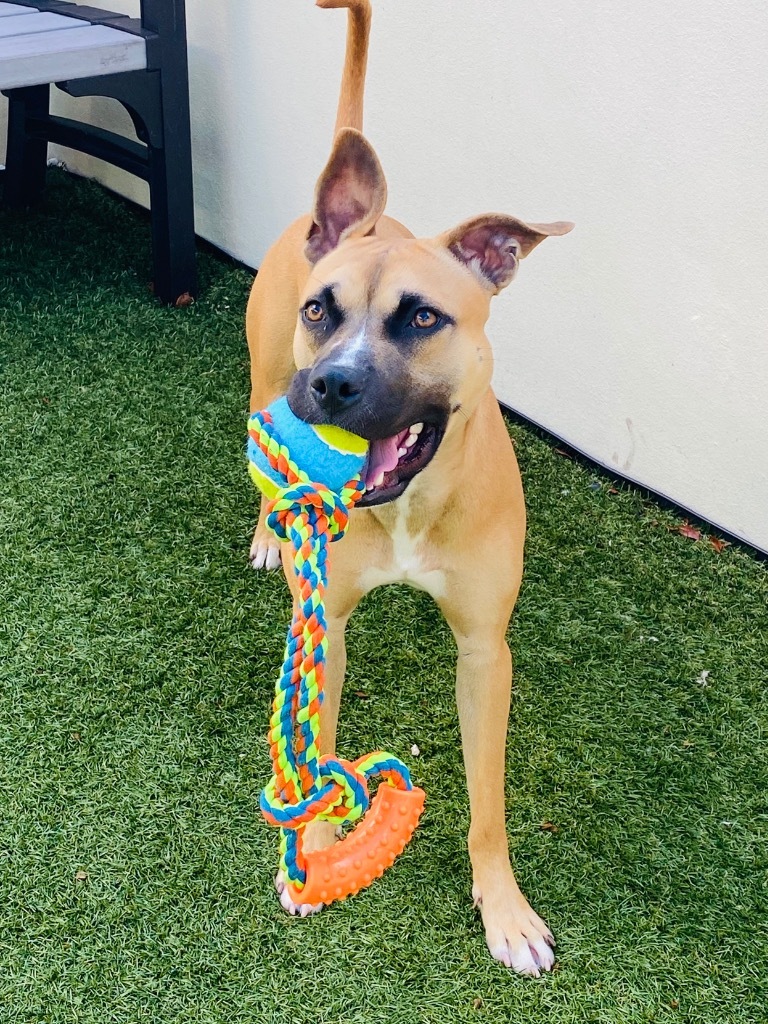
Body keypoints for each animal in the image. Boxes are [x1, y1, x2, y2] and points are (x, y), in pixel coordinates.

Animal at [244, 0, 573, 974]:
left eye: (423, 317)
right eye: (324, 309)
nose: (332, 386)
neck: (407, 510)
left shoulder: (486, 652)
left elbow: (489, 804)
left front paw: (504, 908)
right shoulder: (329, 623)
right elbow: (316, 747)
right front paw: (313, 858)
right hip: (262, 371)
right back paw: (270, 531)